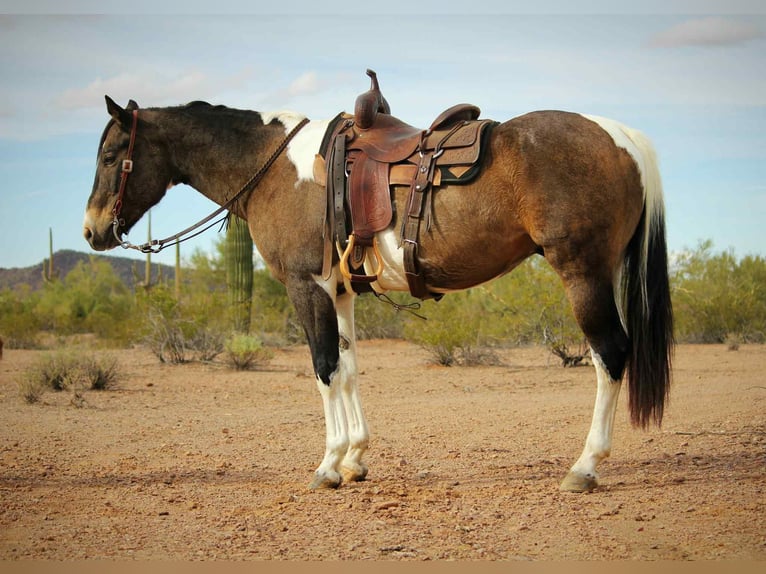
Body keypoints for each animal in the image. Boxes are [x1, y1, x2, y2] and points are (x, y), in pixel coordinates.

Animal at [83, 84, 673, 493]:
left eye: (110, 156)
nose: (91, 231)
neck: (276, 168)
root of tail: (623, 137)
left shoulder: (307, 286)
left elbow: (323, 368)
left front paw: (328, 466)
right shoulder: (339, 290)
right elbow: (347, 368)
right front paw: (355, 459)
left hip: (582, 273)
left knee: (610, 355)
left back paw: (585, 467)